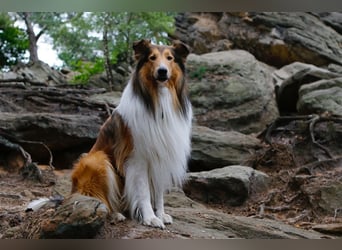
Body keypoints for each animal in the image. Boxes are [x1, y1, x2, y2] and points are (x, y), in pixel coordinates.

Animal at [70, 39, 191, 229]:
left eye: (170, 58)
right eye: (152, 58)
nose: (162, 71)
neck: (158, 101)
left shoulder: (161, 156)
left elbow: (159, 193)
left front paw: (160, 214)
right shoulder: (138, 158)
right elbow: (144, 192)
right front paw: (150, 218)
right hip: (96, 160)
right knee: (98, 199)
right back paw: (114, 214)